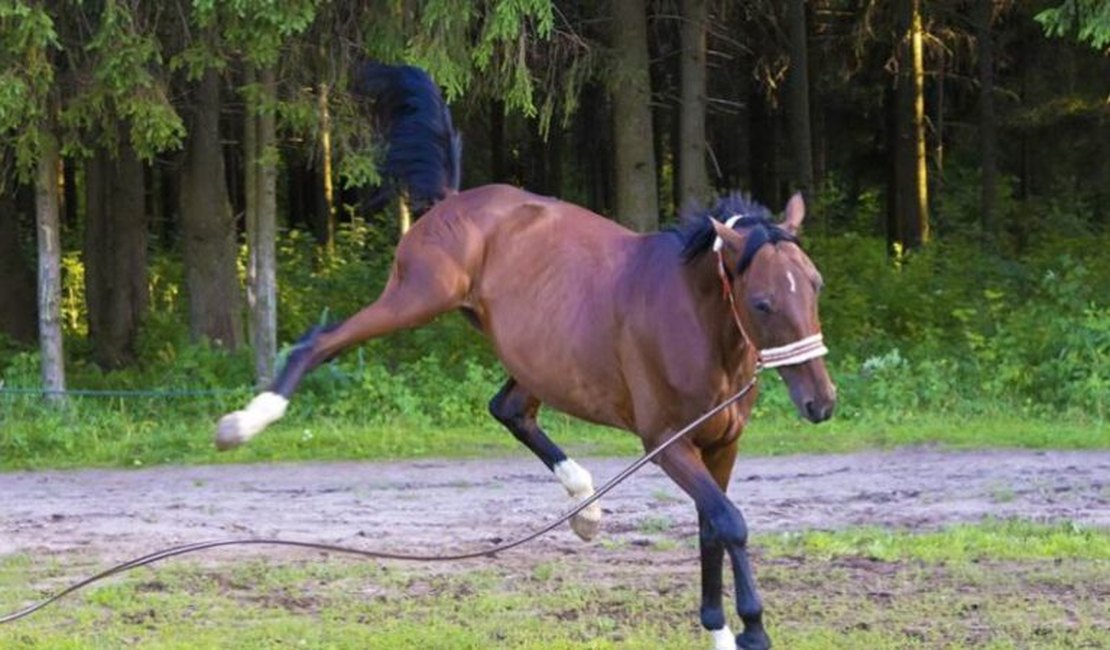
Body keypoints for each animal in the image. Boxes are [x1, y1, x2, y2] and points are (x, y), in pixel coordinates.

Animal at [214, 63, 836, 650]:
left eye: (815, 284)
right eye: (762, 301)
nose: (821, 404)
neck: (696, 322)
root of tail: (450, 202)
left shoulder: (721, 442)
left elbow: (712, 526)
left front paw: (721, 630)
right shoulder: (666, 442)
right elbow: (729, 522)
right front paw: (753, 629)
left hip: (535, 356)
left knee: (509, 409)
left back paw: (585, 506)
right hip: (417, 298)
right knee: (320, 343)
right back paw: (245, 422)